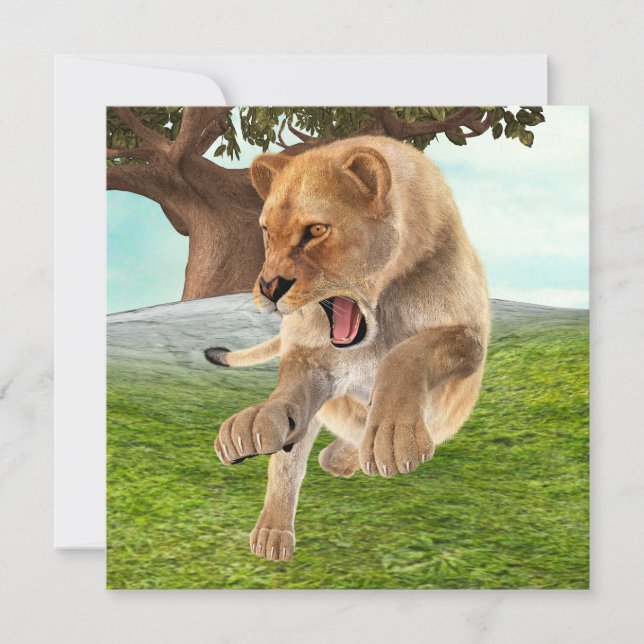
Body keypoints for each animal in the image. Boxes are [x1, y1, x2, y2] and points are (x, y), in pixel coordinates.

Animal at [205, 135, 490, 561]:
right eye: (267, 231)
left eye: (316, 229)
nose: (269, 288)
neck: (380, 310)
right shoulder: (310, 356)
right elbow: (288, 408)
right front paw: (256, 421)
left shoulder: (469, 337)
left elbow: (407, 353)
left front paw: (392, 437)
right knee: (291, 459)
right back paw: (273, 533)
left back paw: (342, 456)